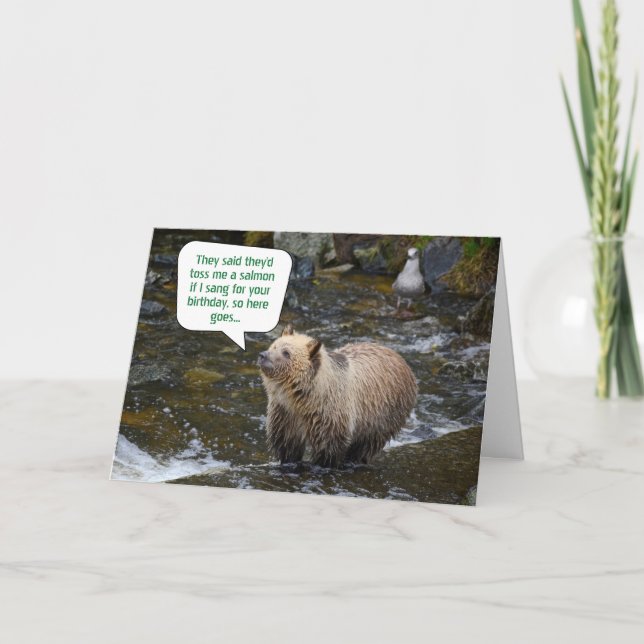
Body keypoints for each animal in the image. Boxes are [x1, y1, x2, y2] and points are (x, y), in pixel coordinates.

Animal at [257, 324, 417, 468]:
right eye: (274, 346)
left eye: (286, 352)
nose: (263, 355)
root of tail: (401, 359)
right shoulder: (285, 412)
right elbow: (287, 442)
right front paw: (288, 461)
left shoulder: (330, 413)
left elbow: (328, 446)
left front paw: (322, 464)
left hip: (384, 413)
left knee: (367, 443)